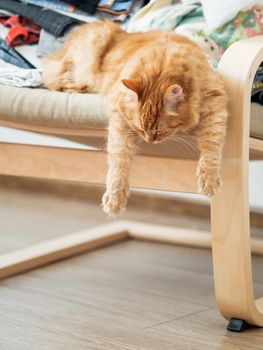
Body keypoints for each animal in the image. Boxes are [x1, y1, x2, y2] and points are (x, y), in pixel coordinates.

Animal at [43, 19, 229, 216]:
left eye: (160, 131)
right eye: (141, 129)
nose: (150, 141)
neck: (164, 61)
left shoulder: (216, 105)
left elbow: (212, 148)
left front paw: (209, 180)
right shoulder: (120, 120)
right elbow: (119, 161)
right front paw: (115, 199)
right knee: (56, 79)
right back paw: (78, 87)